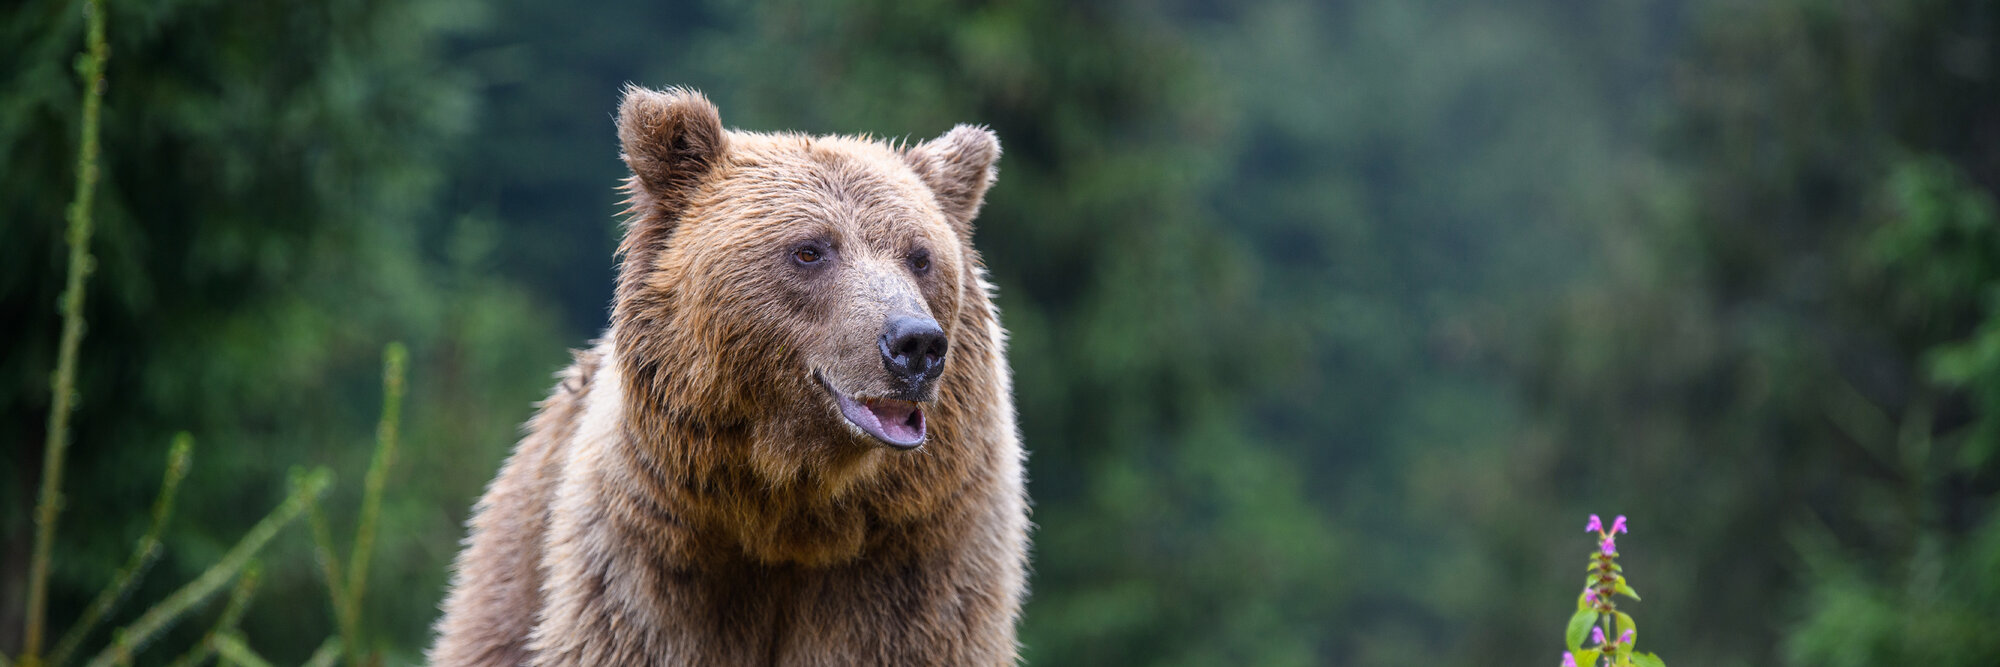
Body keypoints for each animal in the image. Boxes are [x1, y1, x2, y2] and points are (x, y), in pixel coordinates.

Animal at [426, 85, 1032, 663]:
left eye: (920, 256)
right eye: (810, 250)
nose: (916, 344)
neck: (791, 515)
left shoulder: (917, 560)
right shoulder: (650, 564)